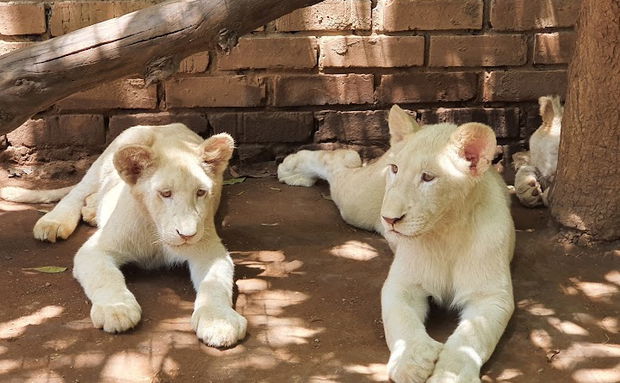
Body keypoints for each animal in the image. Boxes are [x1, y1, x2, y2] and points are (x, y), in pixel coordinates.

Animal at [0, 124, 247, 348]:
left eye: (201, 192)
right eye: (165, 193)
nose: (187, 234)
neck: (156, 232)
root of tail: (165, 124)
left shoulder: (209, 250)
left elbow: (215, 283)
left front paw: (219, 322)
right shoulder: (95, 249)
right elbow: (105, 276)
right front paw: (116, 310)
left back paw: (91, 211)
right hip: (111, 154)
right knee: (77, 192)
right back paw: (54, 222)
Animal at [278, 106, 516, 383]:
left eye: (428, 177)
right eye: (395, 169)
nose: (389, 219)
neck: (445, 234)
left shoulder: (491, 296)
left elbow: (473, 336)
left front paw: (451, 375)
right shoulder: (402, 285)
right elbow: (401, 321)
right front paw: (412, 360)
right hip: (356, 202)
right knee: (336, 166)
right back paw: (294, 167)